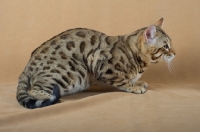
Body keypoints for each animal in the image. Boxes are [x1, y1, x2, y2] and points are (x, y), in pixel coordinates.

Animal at [16, 17, 175, 108]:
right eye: (166, 46)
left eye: (170, 44)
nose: (174, 53)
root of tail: (27, 66)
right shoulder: (100, 64)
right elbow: (124, 81)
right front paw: (135, 87)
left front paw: (138, 82)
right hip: (73, 70)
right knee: (32, 89)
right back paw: (54, 99)